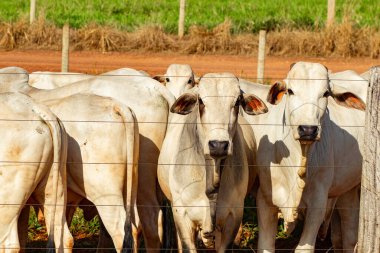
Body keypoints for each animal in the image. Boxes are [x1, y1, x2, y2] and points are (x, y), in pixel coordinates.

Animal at [240, 61, 366, 253]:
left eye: (326, 93)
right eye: (290, 91)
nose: (308, 129)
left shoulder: (317, 205)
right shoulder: (265, 199)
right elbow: (266, 245)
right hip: (348, 189)